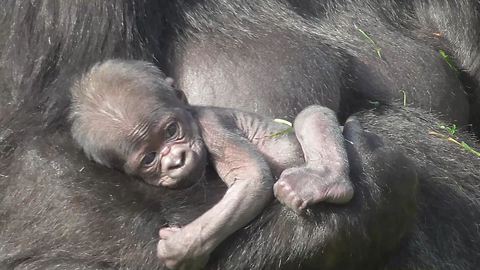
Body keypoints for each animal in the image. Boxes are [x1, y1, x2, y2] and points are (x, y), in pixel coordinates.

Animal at [68, 60, 352, 268]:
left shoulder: (208, 124)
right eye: (149, 158)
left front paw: (185, 247)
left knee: (312, 115)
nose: (177, 160)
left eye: (171, 130)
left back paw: (327, 182)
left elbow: (251, 176)